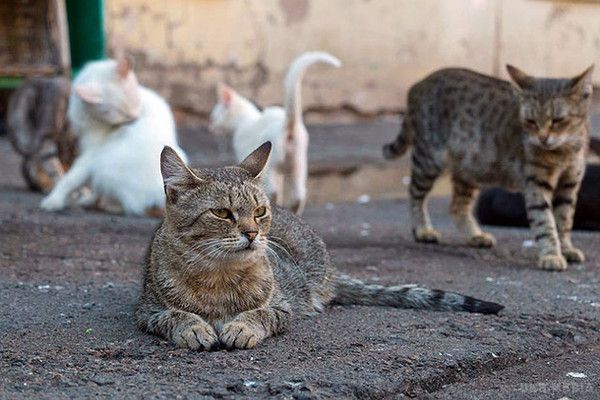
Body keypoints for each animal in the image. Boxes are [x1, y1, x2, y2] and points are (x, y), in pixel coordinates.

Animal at [41, 57, 186, 216]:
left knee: (132, 206)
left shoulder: (92, 155)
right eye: (118, 114)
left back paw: (111, 206)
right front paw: (87, 199)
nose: (135, 119)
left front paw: (53, 201)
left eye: (133, 104)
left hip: (106, 167)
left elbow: (70, 180)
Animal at [135, 141, 502, 350]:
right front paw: (194, 327)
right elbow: (174, 315)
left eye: (259, 212)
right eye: (222, 213)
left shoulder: (282, 307)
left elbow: (261, 313)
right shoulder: (146, 311)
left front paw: (241, 325)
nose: (252, 233)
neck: (220, 276)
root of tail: (330, 271)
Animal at [210, 53, 342, 217]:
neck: (245, 119)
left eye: (213, 117)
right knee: (299, 194)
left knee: (274, 191)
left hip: (273, 166)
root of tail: (287, 123)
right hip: (299, 163)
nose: (210, 127)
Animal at [382, 66, 592, 272]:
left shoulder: (569, 185)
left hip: (469, 169)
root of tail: (418, 84)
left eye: (557, 120)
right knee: (415, 195)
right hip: (429, 159)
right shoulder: (536, 184)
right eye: (530, 121)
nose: (542, 138)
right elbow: (545, 222)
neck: (564, 151)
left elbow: (564, 220)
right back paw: (422, 230)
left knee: (457, 206)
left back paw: (475, 235)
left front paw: (566, 249)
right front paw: (551, 255)